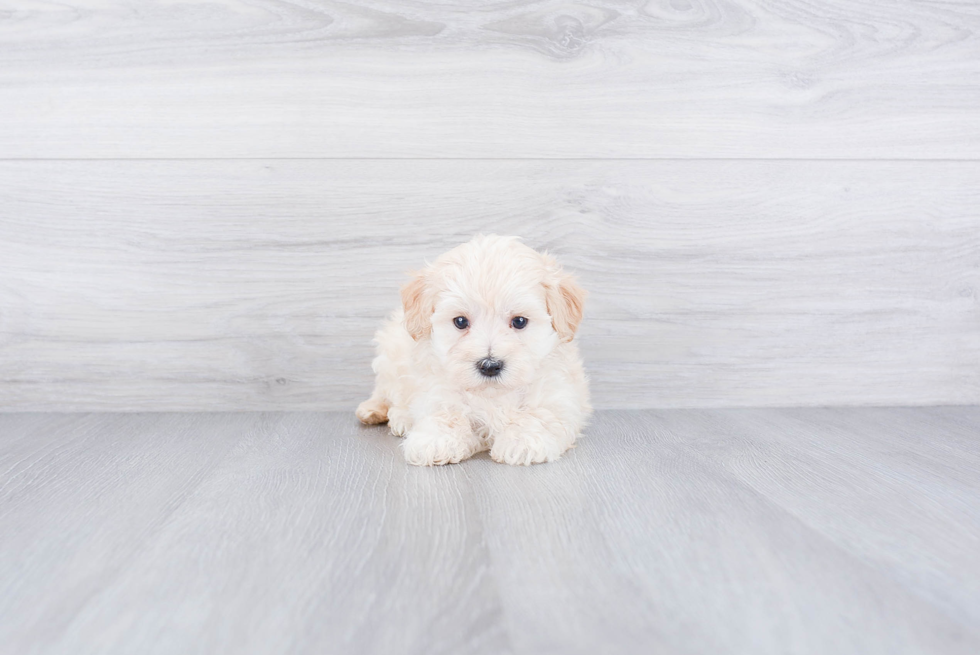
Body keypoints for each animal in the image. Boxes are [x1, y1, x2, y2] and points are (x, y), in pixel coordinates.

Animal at [358, 236, 592, 466]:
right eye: (460, 321)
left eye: (519, 321)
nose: (490, 365)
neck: (491, 394)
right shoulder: (437, 389)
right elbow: (445, 413)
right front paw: (436, 440)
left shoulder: (559, 395)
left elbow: (540, 415)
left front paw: (521, 441)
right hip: (391, 354)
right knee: (386, 391)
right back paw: (383, 413)